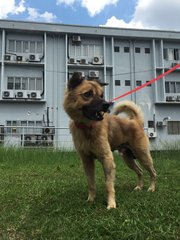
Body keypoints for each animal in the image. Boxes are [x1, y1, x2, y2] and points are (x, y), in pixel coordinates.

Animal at [63, 72, 156, 209]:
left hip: (142, 155)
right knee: (140, 172)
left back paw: (152, 188)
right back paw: (139, 187)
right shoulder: (87, 161)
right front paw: (91, 199)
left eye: (101, 95)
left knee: (153, 172)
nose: (106, 104)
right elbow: (91, 183)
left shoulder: (107, 159)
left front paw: (111, 204)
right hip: (128, 159)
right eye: (88, 94)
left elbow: (108, 184)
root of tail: (135, 121)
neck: (87, 127)